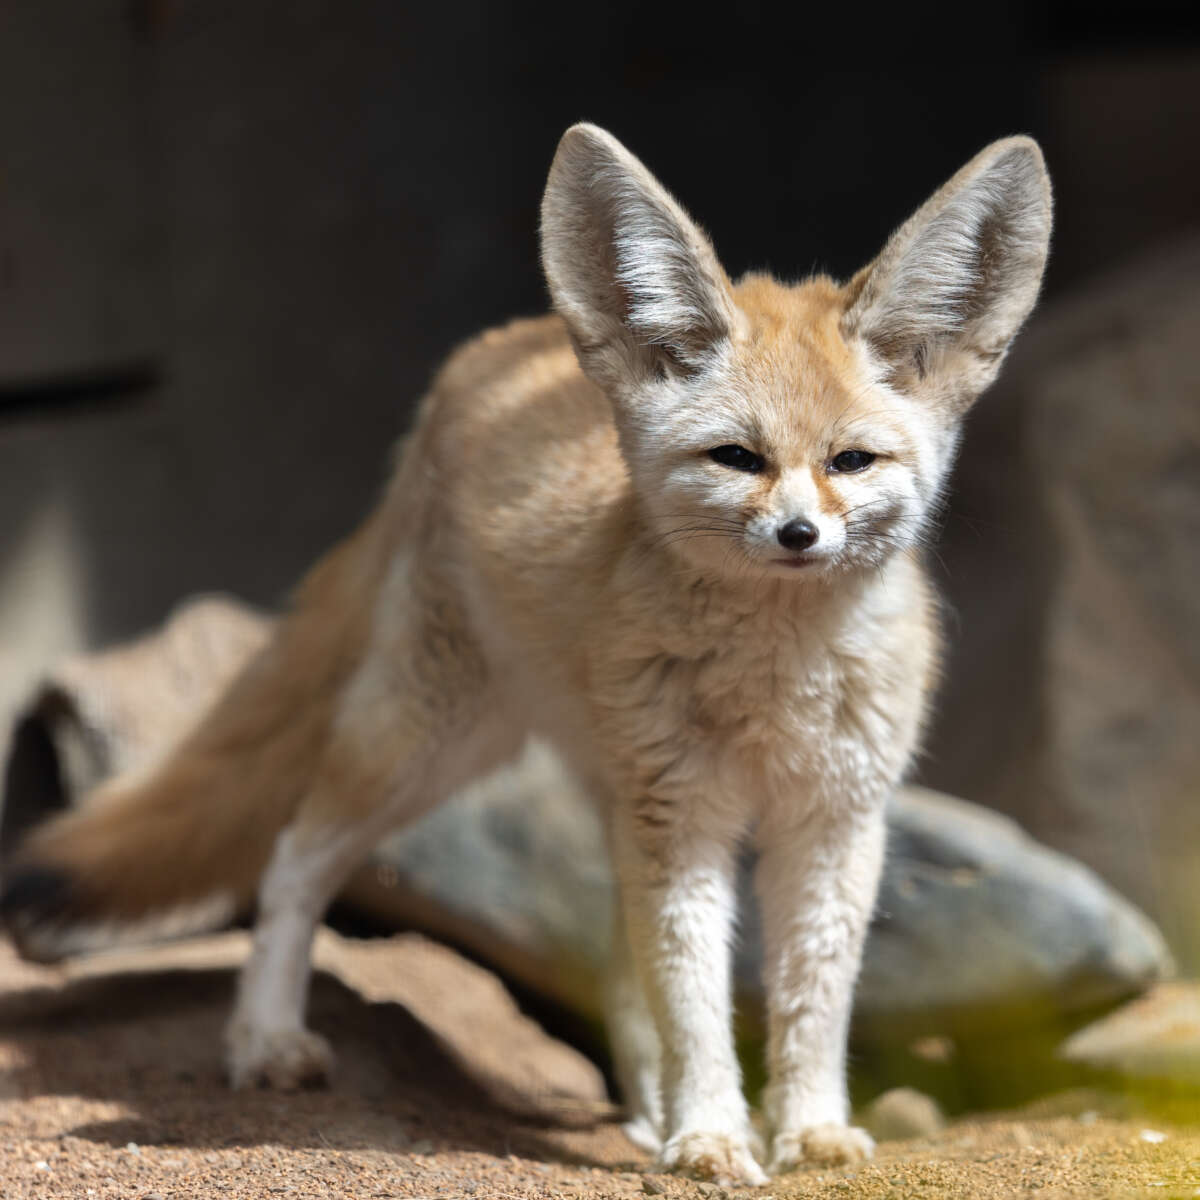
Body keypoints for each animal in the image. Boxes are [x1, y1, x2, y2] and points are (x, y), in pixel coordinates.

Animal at [0, 125, 1050, 1185]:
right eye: (737, 459)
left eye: (850, 463)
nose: (799, 535)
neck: (774, 685)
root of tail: (493, 353)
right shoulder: (682, 817)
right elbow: (695, 1000)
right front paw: (713, 1135)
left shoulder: (834, 818)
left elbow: (809, 1004)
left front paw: (809, 1132)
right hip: (428, 748)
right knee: (294, 859)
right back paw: (265, 1040)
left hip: (593, 788)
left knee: (612, 963)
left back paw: (644, 1113)